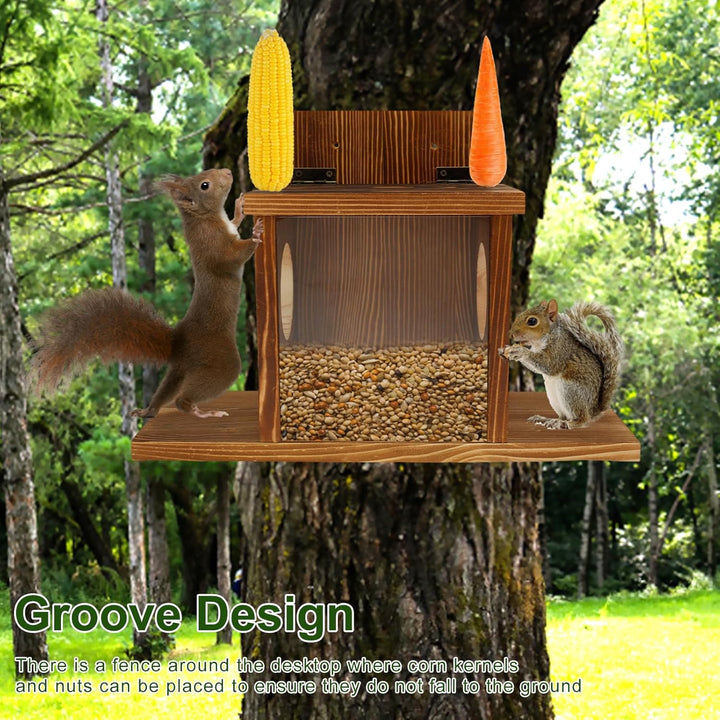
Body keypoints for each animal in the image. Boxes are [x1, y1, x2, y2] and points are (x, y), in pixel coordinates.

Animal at [31, 168, 262, 419]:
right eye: (204, 184)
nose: (228, 172)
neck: (205, 217)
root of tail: (178, 344)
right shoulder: (212, 245)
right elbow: (232, 257)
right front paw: (256, 235)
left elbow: (234, 224)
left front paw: (239, 208)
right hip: (221, 362)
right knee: (183, 398)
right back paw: (202, 412)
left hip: (179, 370)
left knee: (165, 391)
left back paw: (148, 410)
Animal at [498, 299, 623, 430]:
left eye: (532, 321)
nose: (511, 334)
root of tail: (593, 410)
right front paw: (504, 350)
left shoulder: (560, 350)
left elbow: (549, 365)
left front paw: (521, 352)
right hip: (553, 397)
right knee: (563, 415)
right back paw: (548, 420)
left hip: (571, 391)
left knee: (582, 419)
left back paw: (568, 423)